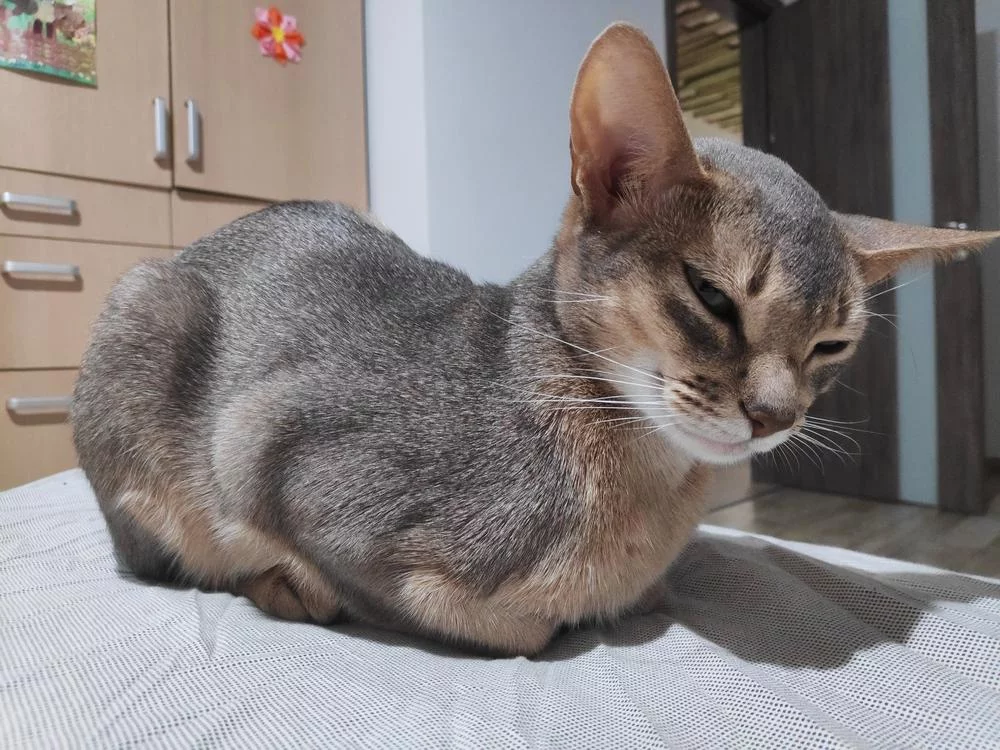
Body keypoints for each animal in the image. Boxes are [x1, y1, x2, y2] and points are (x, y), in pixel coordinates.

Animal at [72, 23, 998, 656]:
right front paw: (300, 582)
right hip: (144, 316)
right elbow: (514, 626)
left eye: (831, 346)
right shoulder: (266, 439)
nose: (776, 417)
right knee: (157, 554)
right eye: (712, 296)